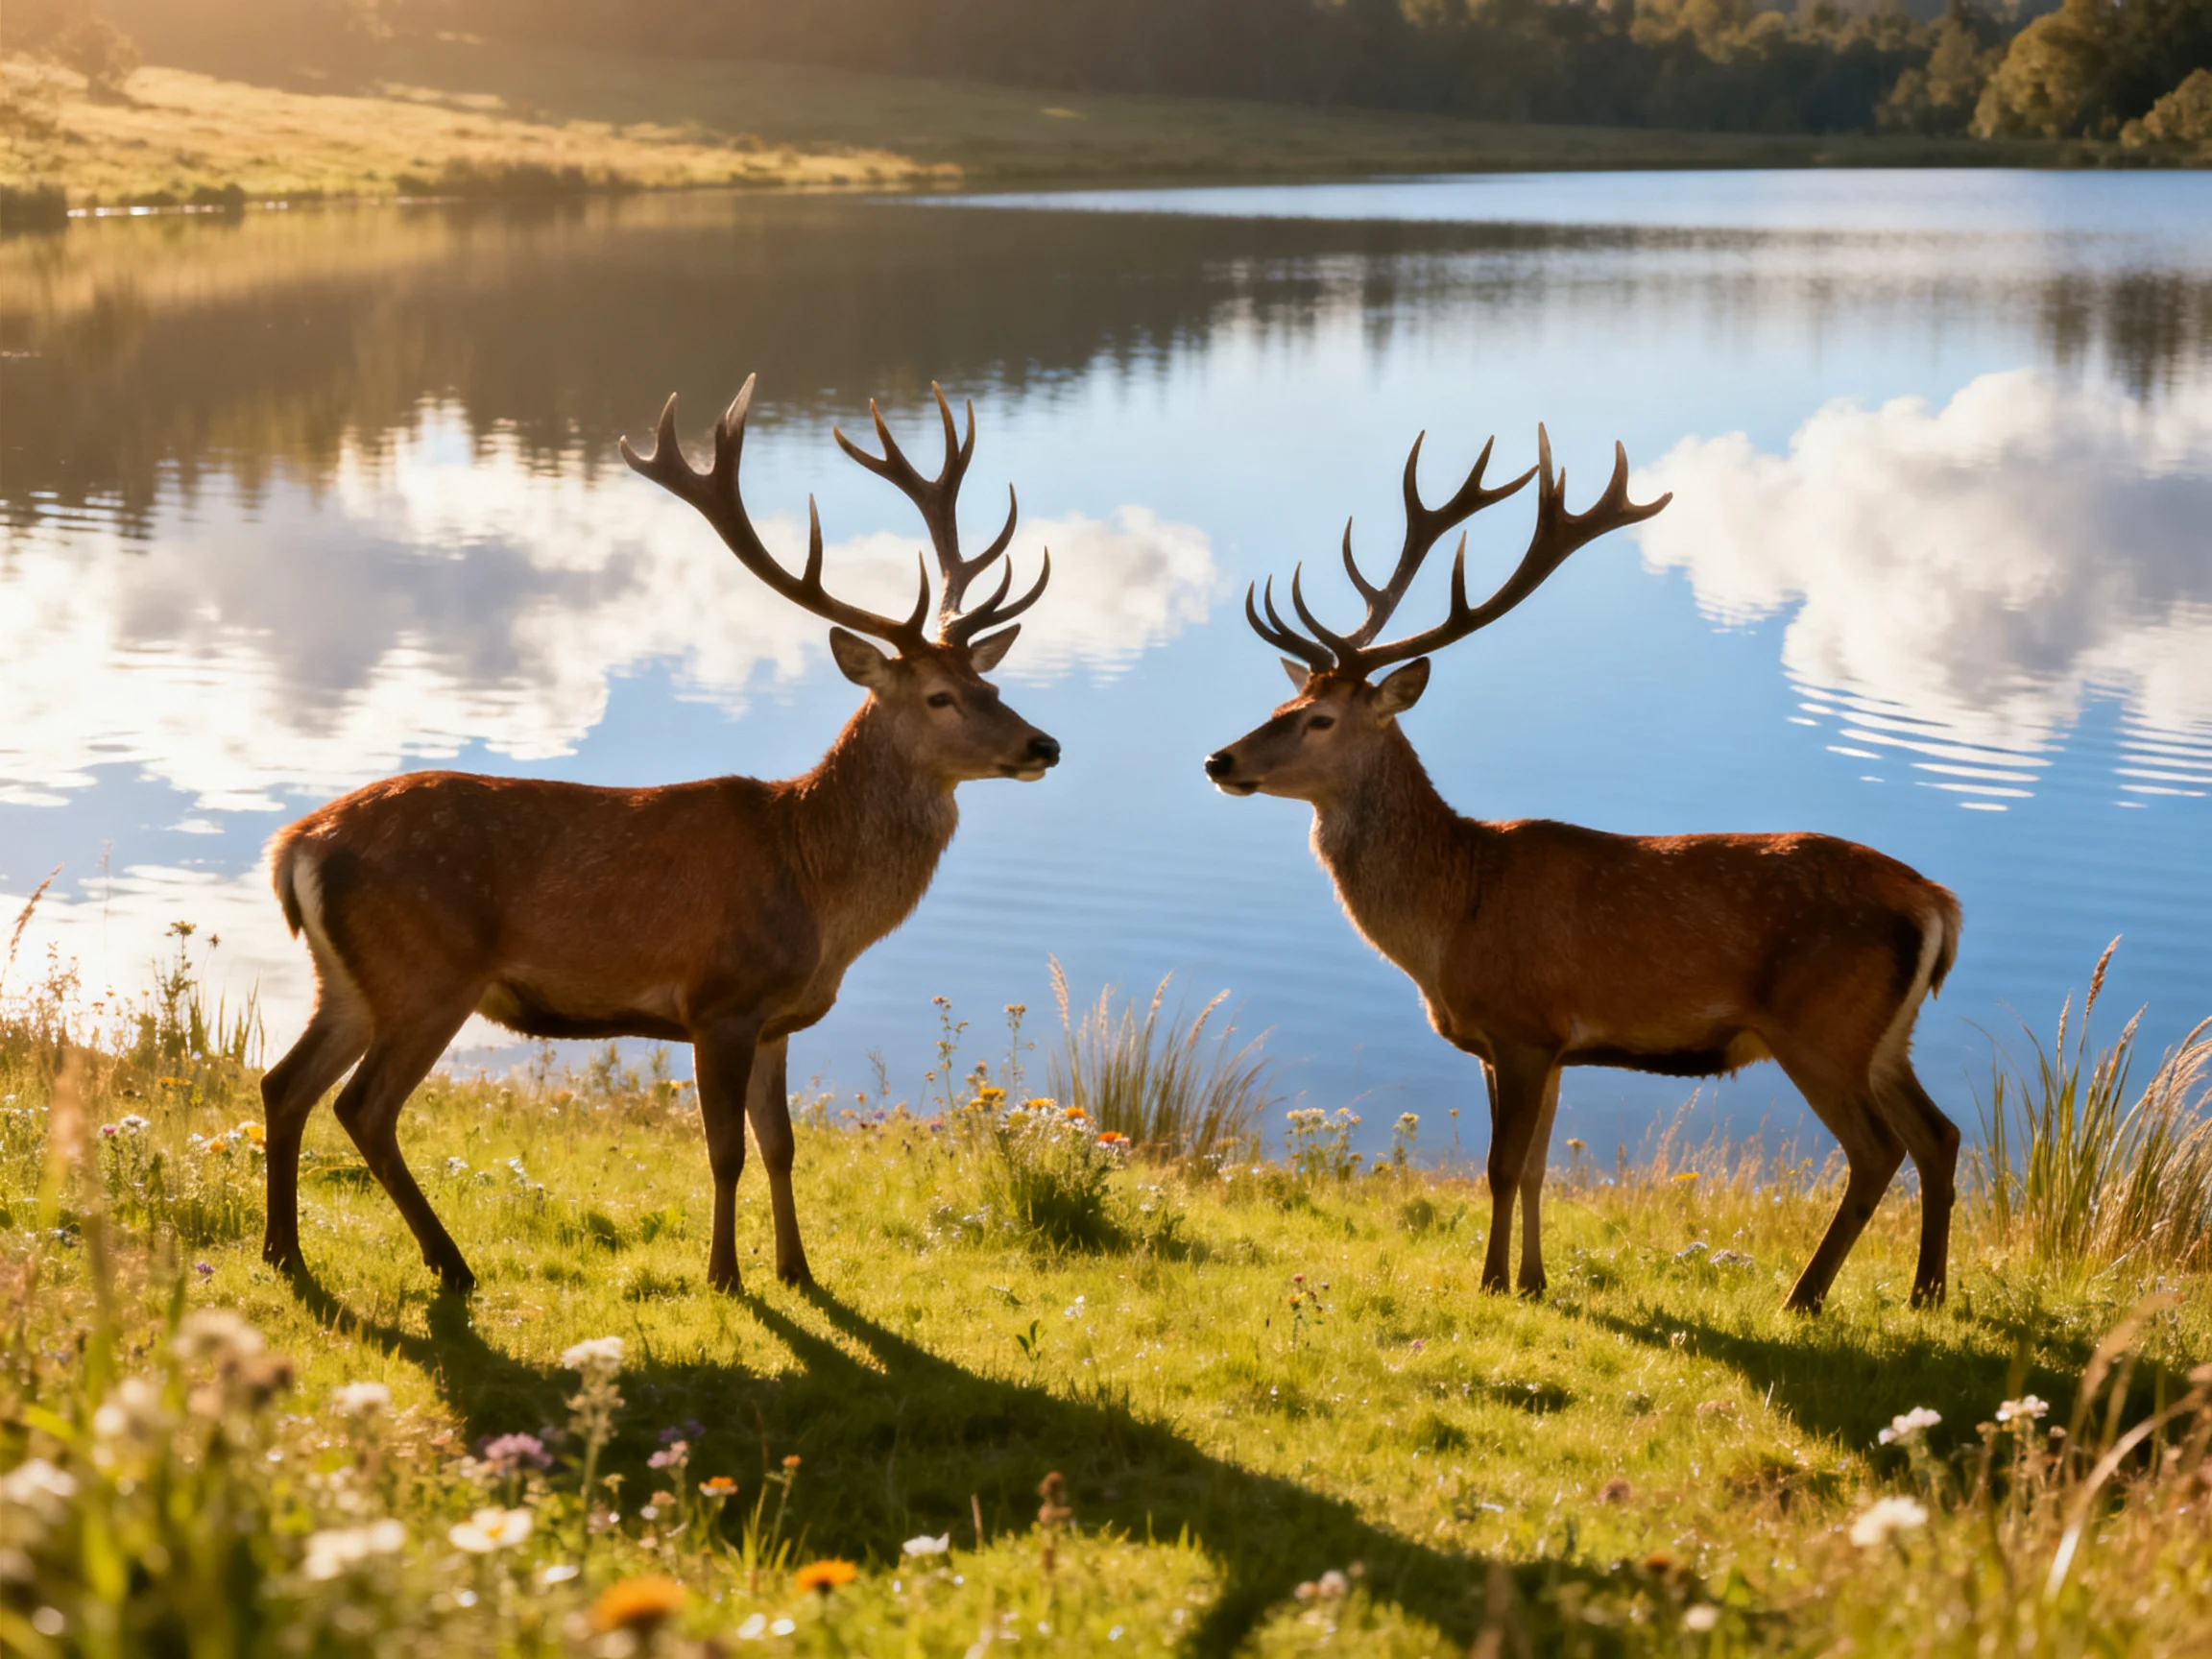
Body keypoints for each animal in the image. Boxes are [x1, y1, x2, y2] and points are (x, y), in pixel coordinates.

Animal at [258, 375, 1061, 1296]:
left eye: (990, 683)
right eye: (938, 697)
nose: (1044, 745)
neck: (815, 892)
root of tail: (295, 847)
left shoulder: (777, 1020)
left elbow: (781, 1146)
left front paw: (798, 1270)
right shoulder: (719, 999)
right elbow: (724, 1151)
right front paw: (726, 1275)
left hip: (347, 979)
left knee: (283, 1084)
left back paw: (284, 1251)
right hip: (427, 969)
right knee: (363, 1104)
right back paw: (447, 1263)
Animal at [1203, 425, 1962, 1314]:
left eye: (1318, 719)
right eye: (1280, 705)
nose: (1220, 760)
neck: (1448, 921)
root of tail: (1938, 902)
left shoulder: (1521, 1026)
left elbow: (1501, 1167)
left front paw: (1491, 1282)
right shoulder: (1545, 1044)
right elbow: (1536, 1170)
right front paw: (1533, 1282)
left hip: (1821, 1026)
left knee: (1878, 1150)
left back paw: (1804, 1297)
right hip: (1888, 1035)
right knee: (1940, 1133)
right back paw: (1926, 1294)